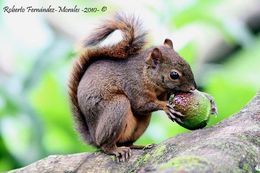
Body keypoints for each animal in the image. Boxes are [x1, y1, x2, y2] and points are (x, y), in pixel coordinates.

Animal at [68, 13, 196, 162]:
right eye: (174, 75)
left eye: (187, 62)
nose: (193, 88)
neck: (145, 74)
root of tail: (93, 136)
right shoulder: (134, 87)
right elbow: (141, 105)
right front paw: (166, 106)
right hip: (117, 106)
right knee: (106, 145)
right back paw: (115, 150)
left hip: (141, 123)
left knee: (128, 142)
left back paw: (140, 146)